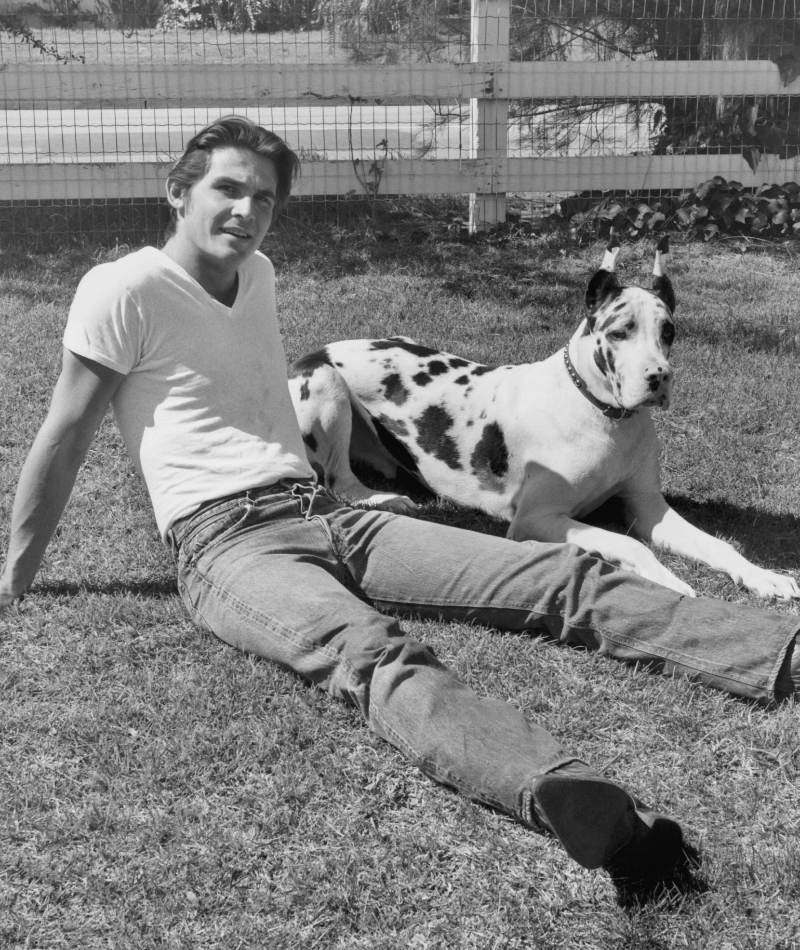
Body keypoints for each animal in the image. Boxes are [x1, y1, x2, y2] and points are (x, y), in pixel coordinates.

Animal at [290, 238, 796, 604]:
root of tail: (323, 346)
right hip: (326, 383)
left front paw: (763, 576)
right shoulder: (536, 519)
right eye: (620, 332)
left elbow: (719, 544)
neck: (604, 416)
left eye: (669, 332)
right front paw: (665, 578)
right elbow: (628, 543)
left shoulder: (649, 508)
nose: (659, 377)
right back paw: (384, 497)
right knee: (339, 480)